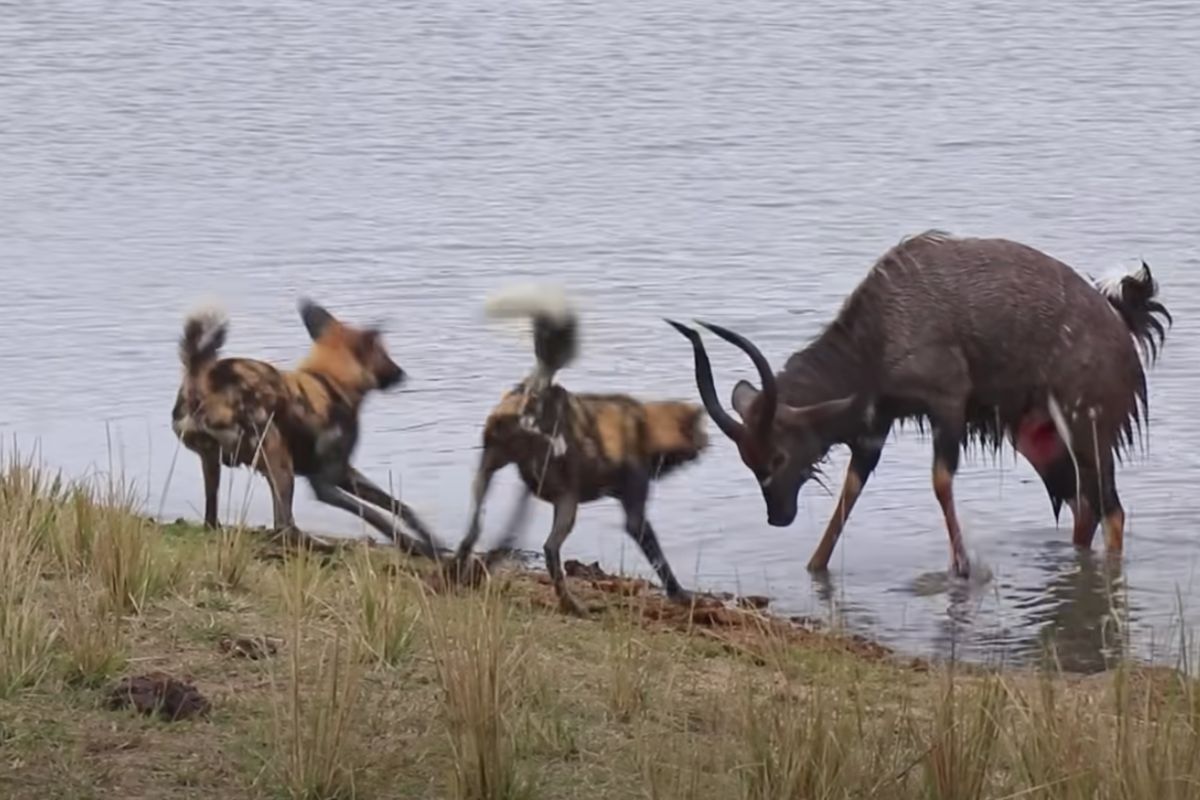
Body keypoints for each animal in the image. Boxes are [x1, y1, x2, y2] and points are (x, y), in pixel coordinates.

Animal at [171, 299, 444, 556]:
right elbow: (375, 515)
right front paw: (417, 546)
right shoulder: (324, 484)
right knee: (283, 526)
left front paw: (433, 542)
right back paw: (324, 547)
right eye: (385, 354)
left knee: (211, 519)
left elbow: (398, 506)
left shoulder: (344, 472)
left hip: (213, 462)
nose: (402, 374)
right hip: (279, 459)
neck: (331, 381)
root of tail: (203, 381)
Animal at [451, 284, 710, 618]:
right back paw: (572, 606)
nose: (706, 447)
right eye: (701, 434)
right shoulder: (635, 515)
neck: (645, 425)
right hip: (567, 502)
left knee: (476, 531)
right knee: (549, 548)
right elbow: (660, 561)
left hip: (497, 478)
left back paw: (456, 576)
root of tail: (533, 394)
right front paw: (680, 595)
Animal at [667, 230, 1171, 575]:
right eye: (748, 460)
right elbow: (851, 491)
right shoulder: (876, 426)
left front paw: (965, 569)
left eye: (777, 455)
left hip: (1085, 428)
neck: (879, 335)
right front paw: (814, 565)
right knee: (1087, 508)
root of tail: (1124, 326)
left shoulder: (946, 406)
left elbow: (940, 482)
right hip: (1045, 442)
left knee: (1110, 509)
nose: (778, 516)